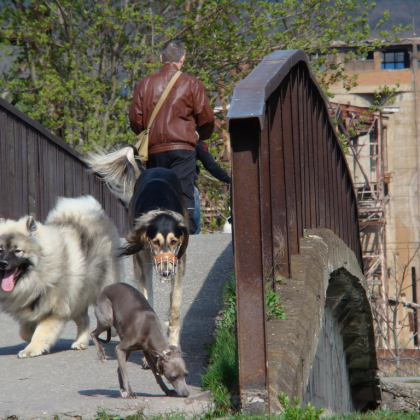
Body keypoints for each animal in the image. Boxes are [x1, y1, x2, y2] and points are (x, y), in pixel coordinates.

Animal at [85, 148, 189, 348]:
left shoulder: (178, 263)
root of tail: (154, 169)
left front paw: (173, 343)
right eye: (155, 242)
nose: (165, 272)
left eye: (174, 241)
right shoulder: (144, 259)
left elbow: (175, 306)